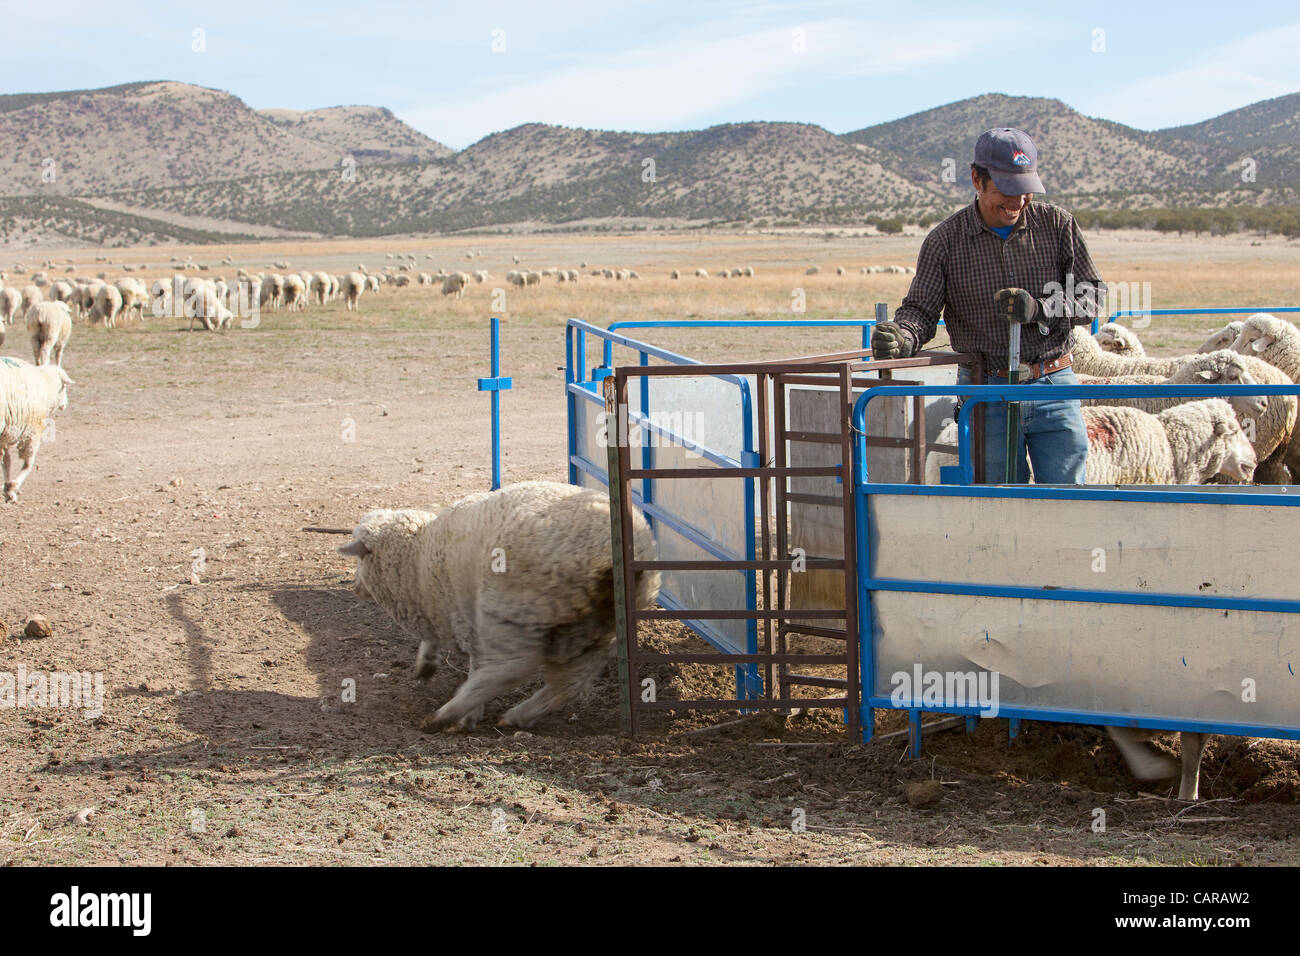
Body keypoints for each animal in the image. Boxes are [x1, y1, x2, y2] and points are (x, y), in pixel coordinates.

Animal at [0, 356, 74, 503]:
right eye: (64, 387)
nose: (65, 404)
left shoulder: (6, 435)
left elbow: (6, 462)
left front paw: (8, 490)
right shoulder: (32, 432)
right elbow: (28, 463)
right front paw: (12, 487)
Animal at [339, 481, 660, 730]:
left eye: (359, 557)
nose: (354, 588)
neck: (416, 560)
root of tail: (605, 553)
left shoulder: (463, 616)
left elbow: (475, 664)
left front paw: (470, 716)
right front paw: (425, 664)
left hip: (512, 610)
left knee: (509, 670)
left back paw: (444, 717)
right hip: (598, 629)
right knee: (568, 684)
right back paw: (519, 716)